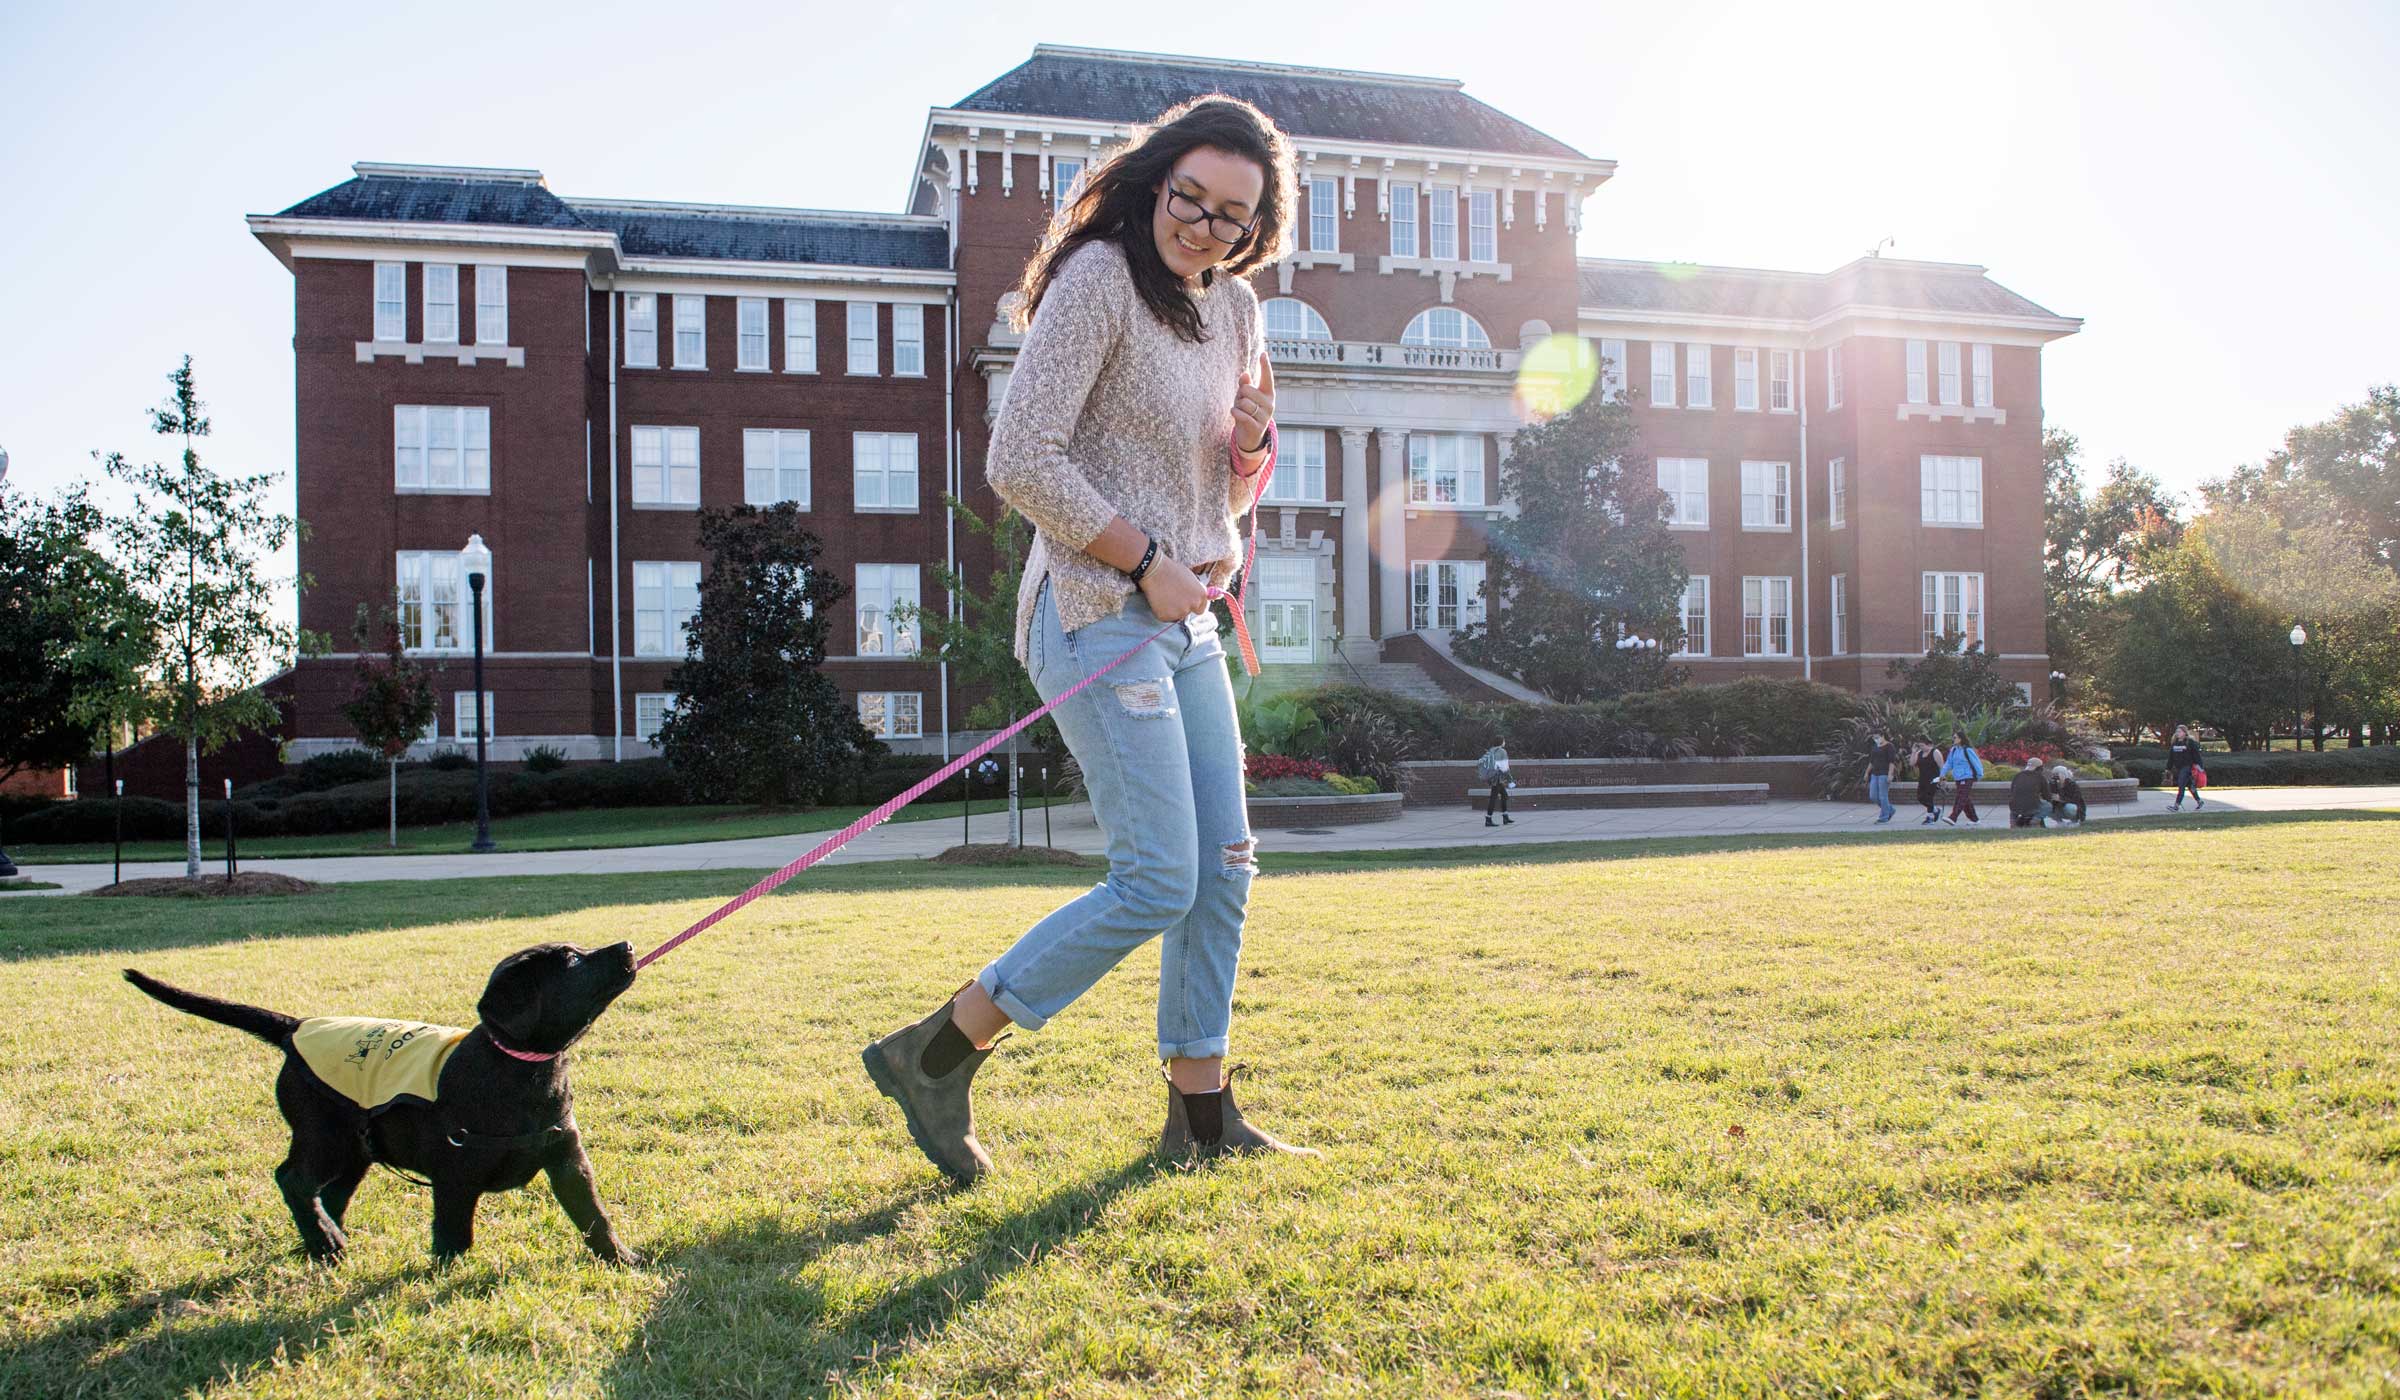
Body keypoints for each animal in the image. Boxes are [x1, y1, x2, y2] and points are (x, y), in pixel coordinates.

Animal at [124, 946, 638, 1267]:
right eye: (571, 960)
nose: (628, 946)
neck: (517, 1067)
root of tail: (296, 1027)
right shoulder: (453, 1171)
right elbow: (453, 1234)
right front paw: (442, 1277)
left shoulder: (567, 1159)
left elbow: (594, 1217)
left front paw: (624, 1260)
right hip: (322, 1135)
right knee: (293, 1179)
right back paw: (327, 1241)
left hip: (355, 1151)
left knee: (327, 1193)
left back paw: (322, 1242)